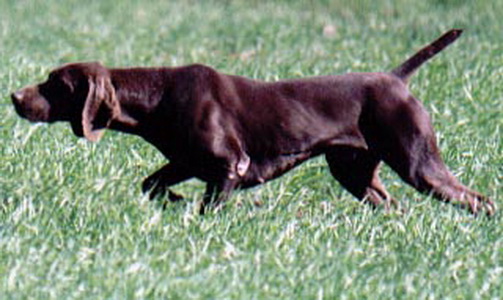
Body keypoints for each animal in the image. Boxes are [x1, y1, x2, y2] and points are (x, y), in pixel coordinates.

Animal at [11, 29, 496, 214]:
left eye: (55, 84)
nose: (15, 97)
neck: (159, 96)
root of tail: (395, 78)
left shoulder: (229, 165)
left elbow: (210, 207)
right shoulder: (187, 162)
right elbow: (152, 185)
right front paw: (176, 203)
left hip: (418, 163)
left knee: (480, 201)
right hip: (356, 174)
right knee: (393, 205)